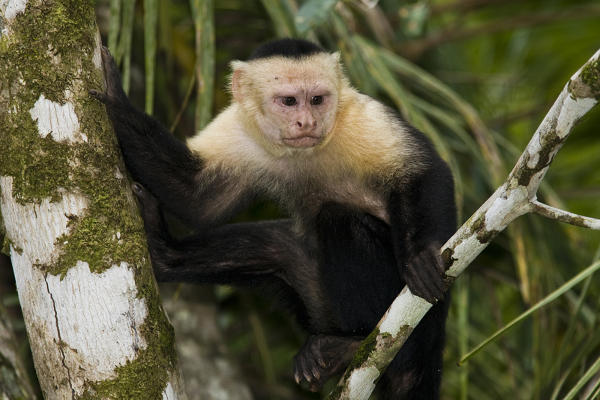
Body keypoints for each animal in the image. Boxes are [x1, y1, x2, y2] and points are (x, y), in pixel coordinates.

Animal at [90, 38, 454, 400]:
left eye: (317, 100)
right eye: (289, 101)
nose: (307, 122)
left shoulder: (361, 117)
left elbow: (425, 172)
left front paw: (420, 255)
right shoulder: (240, 126)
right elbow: (198, 199)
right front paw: (117, 101)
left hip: (419, 326)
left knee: (338, 218)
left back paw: (359, 345)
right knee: (279, 248)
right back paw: (165, 253)